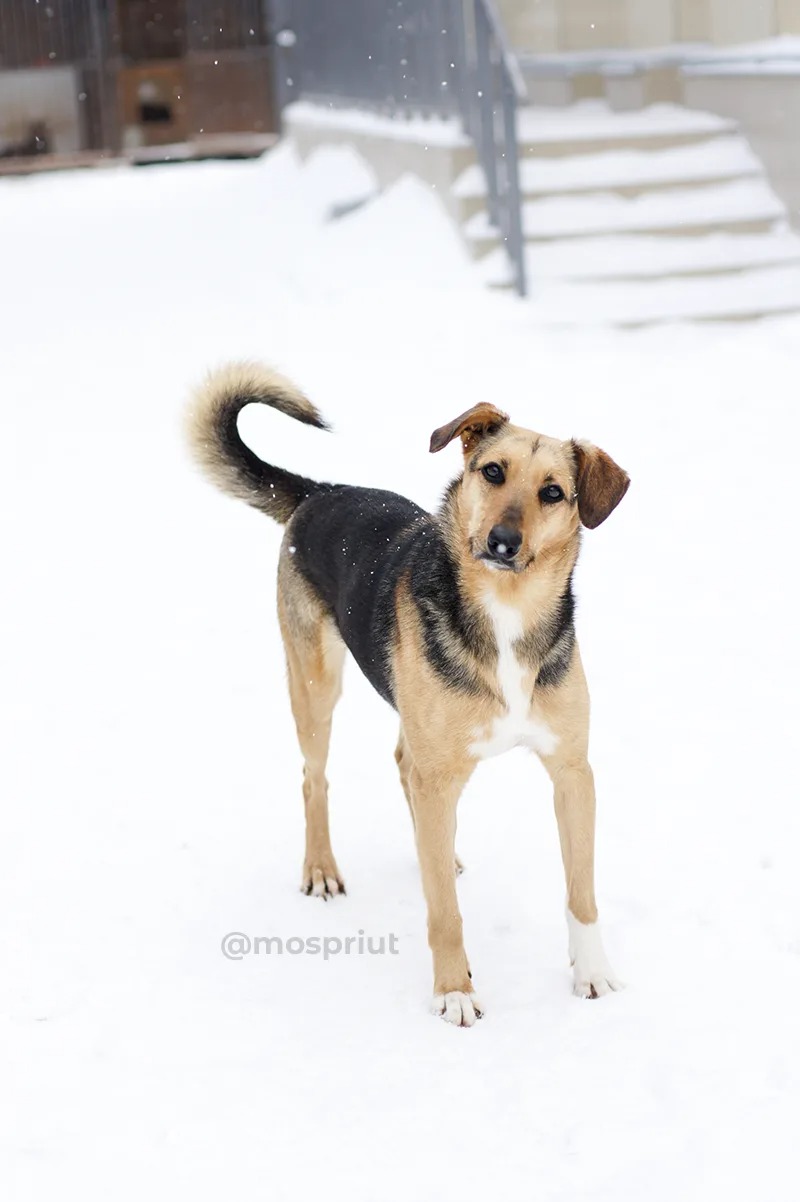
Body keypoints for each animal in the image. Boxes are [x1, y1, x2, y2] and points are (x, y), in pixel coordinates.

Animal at [188, 360, 629, 1028]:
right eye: (492, 471)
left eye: (553, 492)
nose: (502, 541)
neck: (505, 613)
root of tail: (321, 490)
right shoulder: (441, 773)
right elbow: (444, 911)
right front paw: (454, 990)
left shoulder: (573, 772)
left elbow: (583, 893)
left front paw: (593, 974)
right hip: (316, 684)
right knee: (314, 778)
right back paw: (322, 870)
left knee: (402, 768)